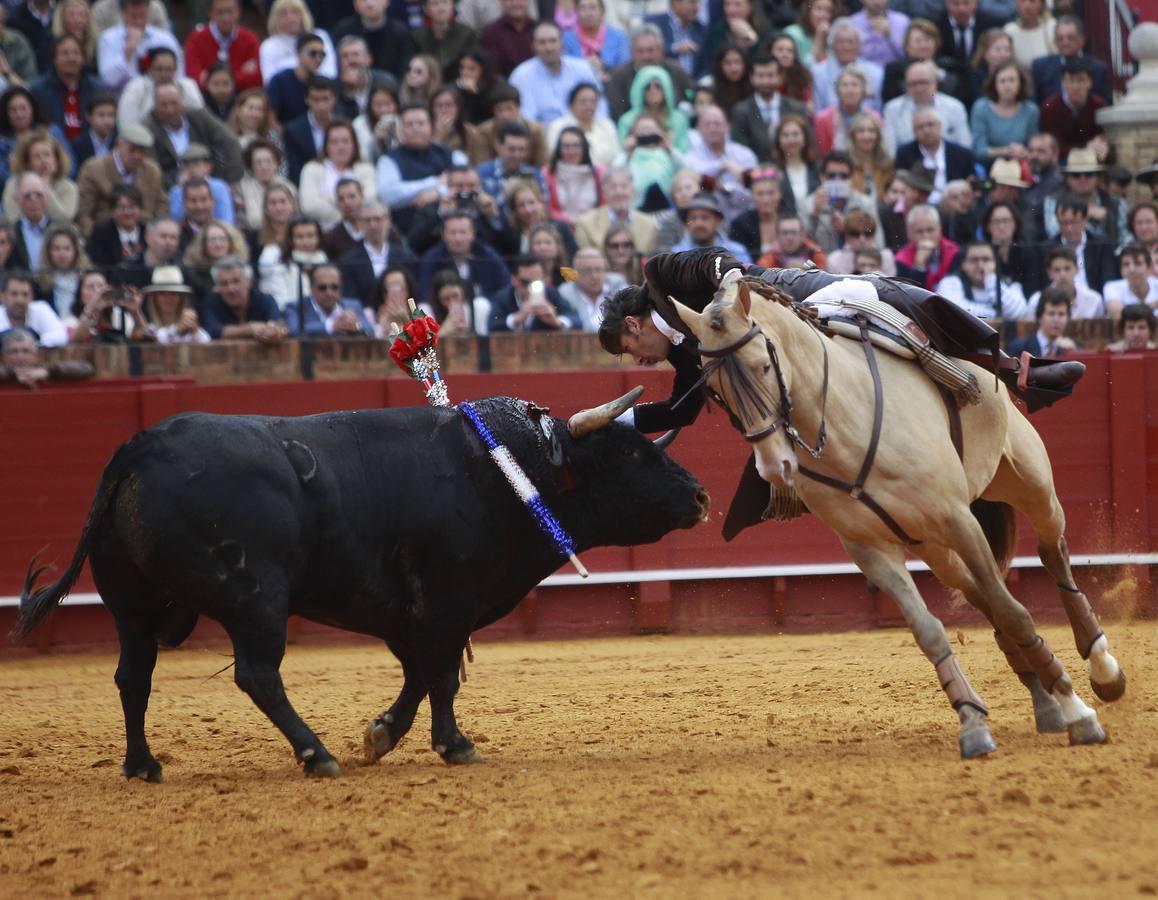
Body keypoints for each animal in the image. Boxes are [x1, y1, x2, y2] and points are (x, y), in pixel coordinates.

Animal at [13, 396, 704, 773]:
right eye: (632, 455)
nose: (699, 496)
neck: (513, 468)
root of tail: (139, 448)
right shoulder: (445, 601)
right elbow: (441, 674)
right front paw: (455, 745)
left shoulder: (403, 611)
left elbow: (420, 674)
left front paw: (382, 735)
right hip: (256, 599)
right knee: (258, 675)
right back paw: (316, 755)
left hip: (132, 606)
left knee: (133, 676)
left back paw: (143, 765)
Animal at [676, 279, 1125, 759]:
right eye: (715, 389)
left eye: (763, 365)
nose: (775, 467)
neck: (842, 422)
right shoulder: (870, 549)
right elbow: (931, 631)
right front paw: (972, 722)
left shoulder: (957, 518)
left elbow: (1016, 612)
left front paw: (1080, 714)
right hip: (932, 546)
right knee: (985, 594)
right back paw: (1045, 703)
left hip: (1028, 479)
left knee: (1050, 550)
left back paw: (1103, 670)